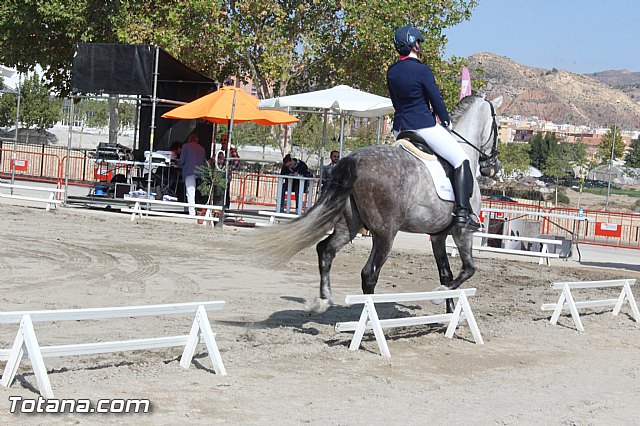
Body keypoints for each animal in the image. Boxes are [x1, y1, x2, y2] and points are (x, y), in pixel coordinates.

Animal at [256, 95, 503, 313]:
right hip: (385, 233)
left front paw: (449, 311)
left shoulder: (438, 236)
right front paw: (438, 297)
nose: (493, 167)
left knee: (326, 250)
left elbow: (446, 273)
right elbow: (468, 269)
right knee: (369, 273)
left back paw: (323, 302)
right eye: (497, 126)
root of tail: (353, 159)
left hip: (350, 224)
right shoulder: (463, 233)